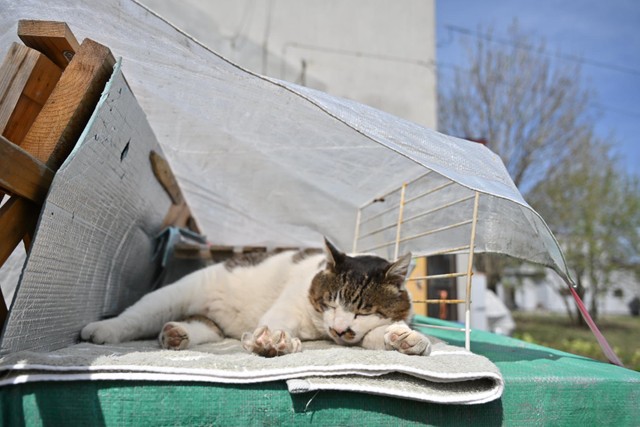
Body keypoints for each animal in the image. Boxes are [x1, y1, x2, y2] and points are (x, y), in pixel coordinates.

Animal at [77, 239, 432, 356]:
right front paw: (273, 341)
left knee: (205, 328)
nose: (339, 328)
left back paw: (176, 334)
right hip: (169, 297)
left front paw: (406, 339)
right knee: (134, 317)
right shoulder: (289, 307)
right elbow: (277, 324)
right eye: (329, 302)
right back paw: (102, 331)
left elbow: (379, 335)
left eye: (363, 311)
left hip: (210, 324)